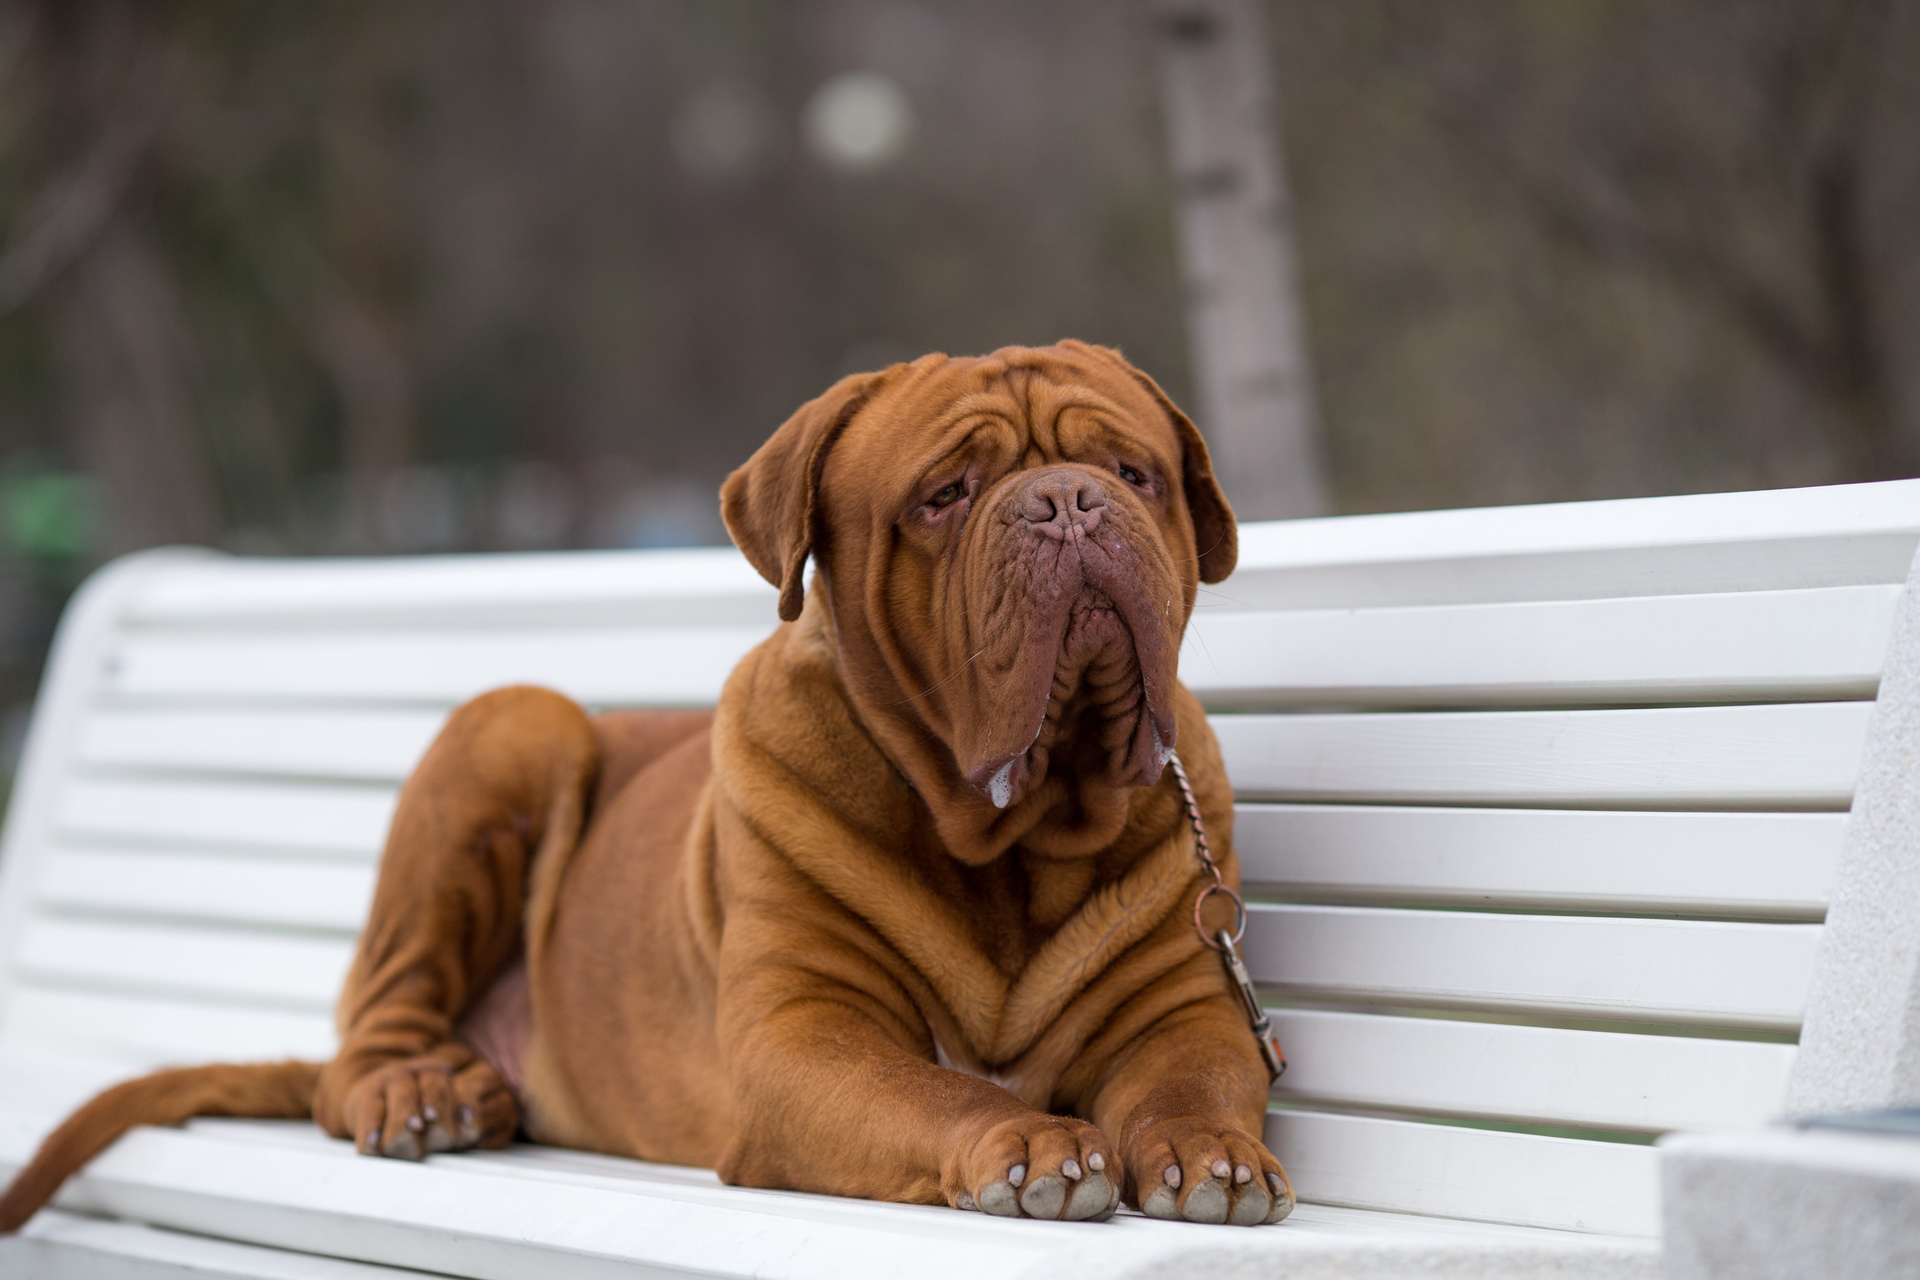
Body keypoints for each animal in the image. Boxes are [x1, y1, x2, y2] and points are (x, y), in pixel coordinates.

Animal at [0, 339, 1297, 1228]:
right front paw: (1028, 1143)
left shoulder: (1187, 1007)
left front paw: (1209, 1155)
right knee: (369, 1024)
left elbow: (1191, 1077)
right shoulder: (805, 1035)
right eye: (945, 495)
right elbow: (942, 1094)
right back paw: (416, 1086)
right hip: (508, 726)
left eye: (1133, 469)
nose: (1070, 499)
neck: (1012, 835)